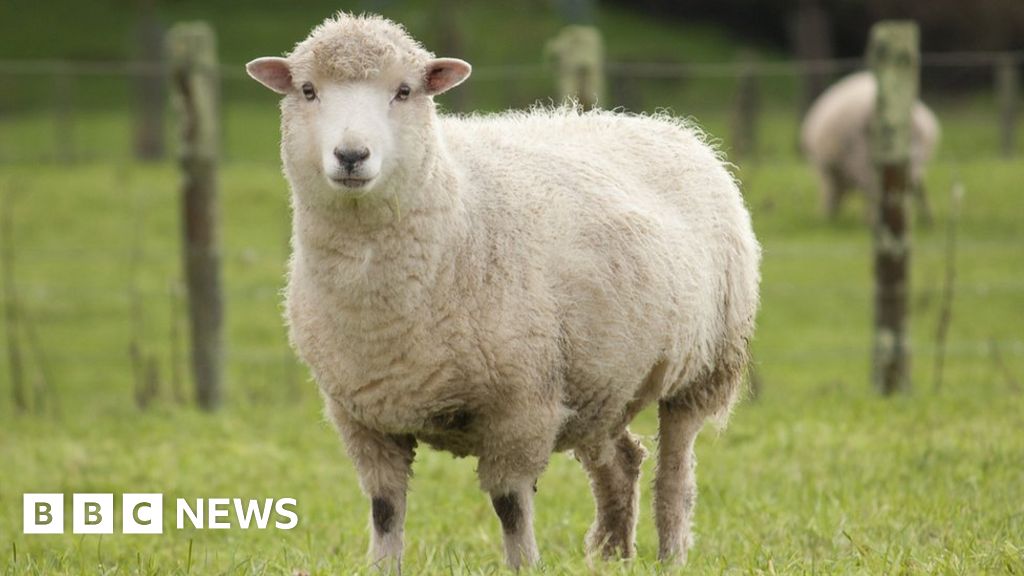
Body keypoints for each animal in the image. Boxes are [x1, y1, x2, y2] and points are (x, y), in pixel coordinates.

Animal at [245, 13, 761, 569]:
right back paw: (611, 556)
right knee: (622, 461)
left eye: (404, 91)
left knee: (675, 474)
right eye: (308, 90)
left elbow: (510, 506)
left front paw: (524, 566)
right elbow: (385, 509)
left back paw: (670, 556)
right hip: (598, 380)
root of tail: (665, 125)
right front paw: (383, 568)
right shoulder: (363, 416)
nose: (351, 155)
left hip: (704, 366)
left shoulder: (522, 407)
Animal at [802, 70, 937, 224]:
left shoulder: (829, 170)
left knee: (876, 189)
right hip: (911, 162)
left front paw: (827, 217)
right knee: (911, 188)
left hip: (863, 158)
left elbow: (830, 193)